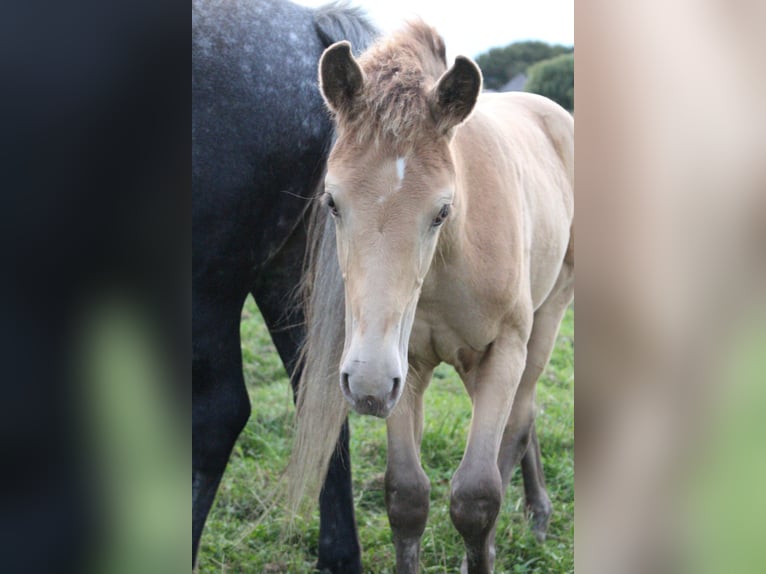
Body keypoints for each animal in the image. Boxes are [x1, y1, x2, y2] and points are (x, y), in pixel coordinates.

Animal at [288, 21, 574, 574]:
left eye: (442, 210)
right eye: (332, 202)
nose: (366, 382)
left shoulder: (504, 350)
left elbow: (477, 496)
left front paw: (482, 548)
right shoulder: (406, 366)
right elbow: (406, 496)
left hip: (547, 318)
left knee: (520, 421)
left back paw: (536, 517)